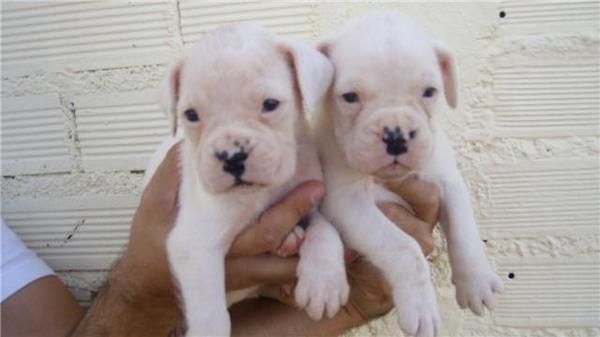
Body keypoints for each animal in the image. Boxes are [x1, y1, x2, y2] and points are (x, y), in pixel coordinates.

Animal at [147, 25, 350, 334]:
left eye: (270, 104)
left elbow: (324, 229)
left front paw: (323, 281)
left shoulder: (309, 196)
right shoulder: (194, 244)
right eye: (191, 115)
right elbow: (210, 312)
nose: (231, 156)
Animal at [314, 11, 502, 334]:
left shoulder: (448, 183)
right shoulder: (347, 202)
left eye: (430, 92)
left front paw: (476, 281)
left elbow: (464, 230)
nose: (395, 134)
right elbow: (405, 248)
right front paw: (421, 306)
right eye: (350, 97)